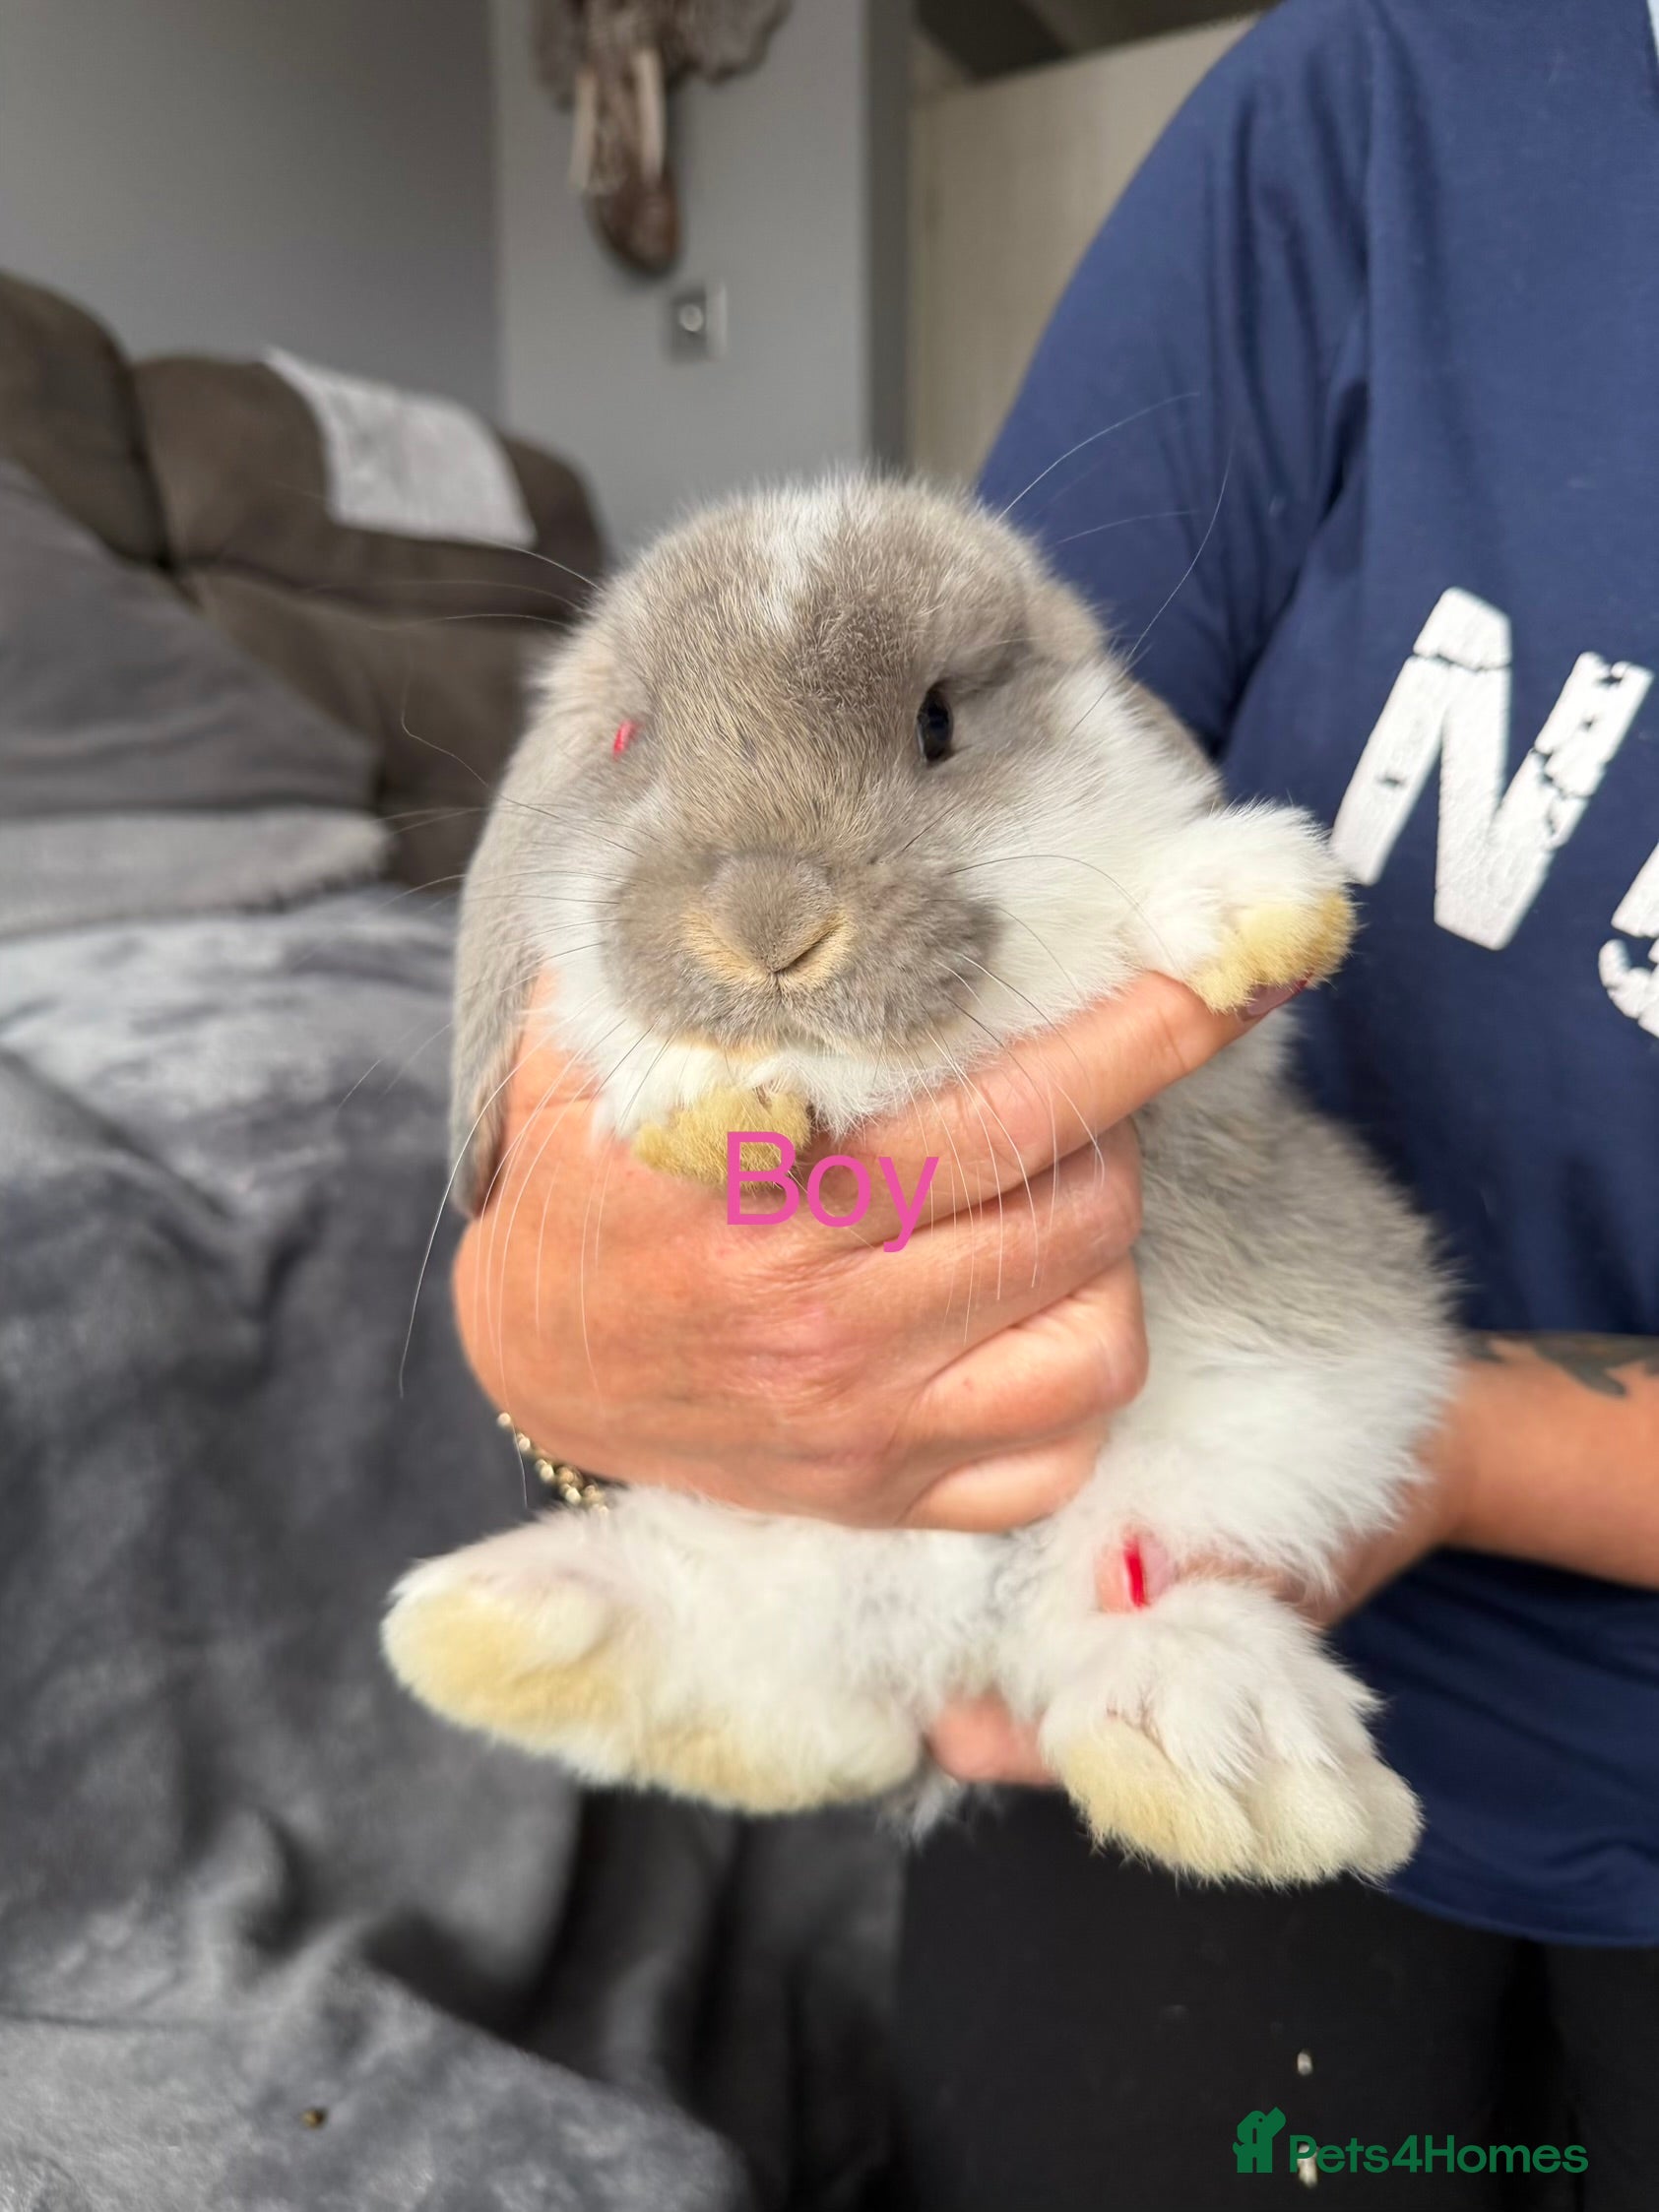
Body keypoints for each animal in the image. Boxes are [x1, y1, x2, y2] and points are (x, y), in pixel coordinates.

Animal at [382, 475, 1456, 1884]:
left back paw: (1232, 1761)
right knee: (793, 1696)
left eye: (935, 723)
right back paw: (506, 1637)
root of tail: (945, 1633)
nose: (766, 928)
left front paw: (1250, 901)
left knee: (1131, 1602)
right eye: (629, 739)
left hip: (1288, 1430)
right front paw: (707, 1091)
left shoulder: (1219, 1081)